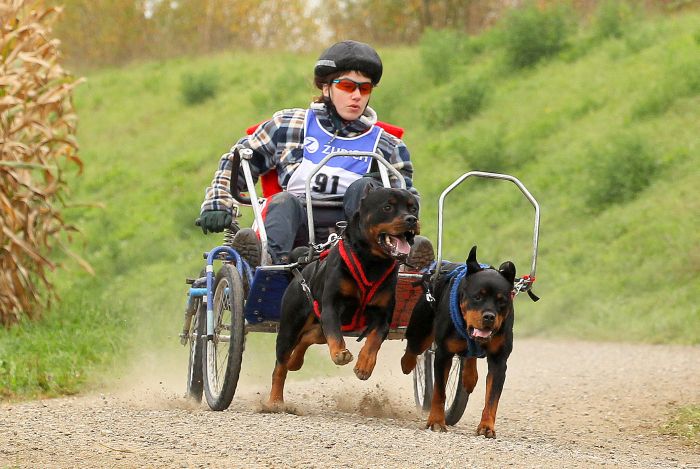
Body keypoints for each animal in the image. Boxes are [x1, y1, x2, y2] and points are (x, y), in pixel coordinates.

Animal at [266, 186, 422, 406]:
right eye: (387, 207)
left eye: (413, 208)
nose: (411, 219)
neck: (371, 262)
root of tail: (301, 270)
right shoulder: (332, 307)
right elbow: (335, 335)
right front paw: (340, 353)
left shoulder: (383, 315)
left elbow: (374, 340)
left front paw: (364, 365)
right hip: (290, 326)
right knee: (280, 366)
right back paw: (274, 401)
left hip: (317, 327)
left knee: (307, 338)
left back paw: (295, 362)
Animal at [400, 247, 516, 436]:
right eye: (477, 297)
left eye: (502, 301)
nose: (489, 316)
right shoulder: (443, 355)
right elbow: (439, 392)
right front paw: (436, 421)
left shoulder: (499, 361)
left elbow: (492, 398)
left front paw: (486, 426)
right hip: (421, 328)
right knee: (413, 348)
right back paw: (405, 364)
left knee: (469, 355)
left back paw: (470, 377)